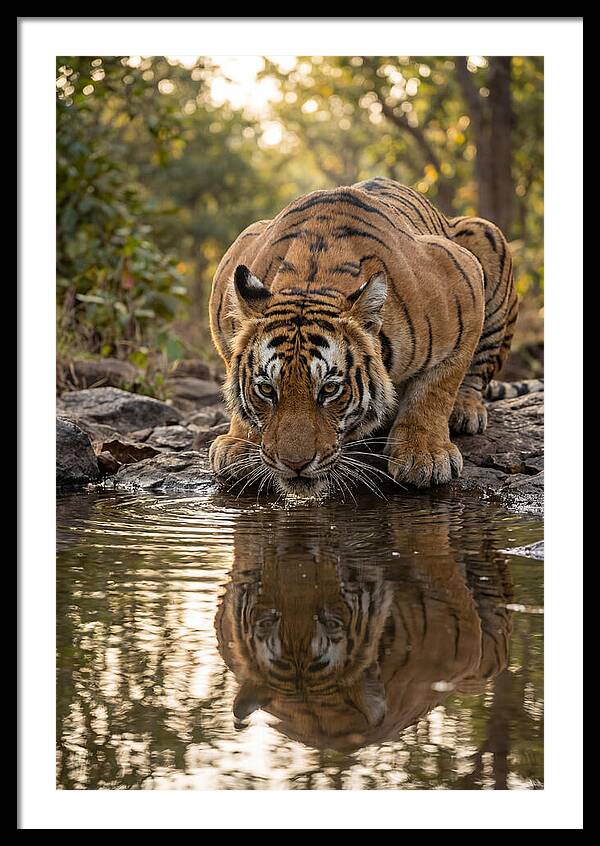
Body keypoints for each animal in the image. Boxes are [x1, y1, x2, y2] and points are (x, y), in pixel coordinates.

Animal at [208, 177, 525, 495]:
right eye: (266, 390)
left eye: (329, 389)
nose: (294, 464)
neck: (311, 281)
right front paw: (239, 443)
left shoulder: (464, 280)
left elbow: (436, 388)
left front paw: (424, 454)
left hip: (486, 234)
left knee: (478, 370)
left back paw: (465, 411)